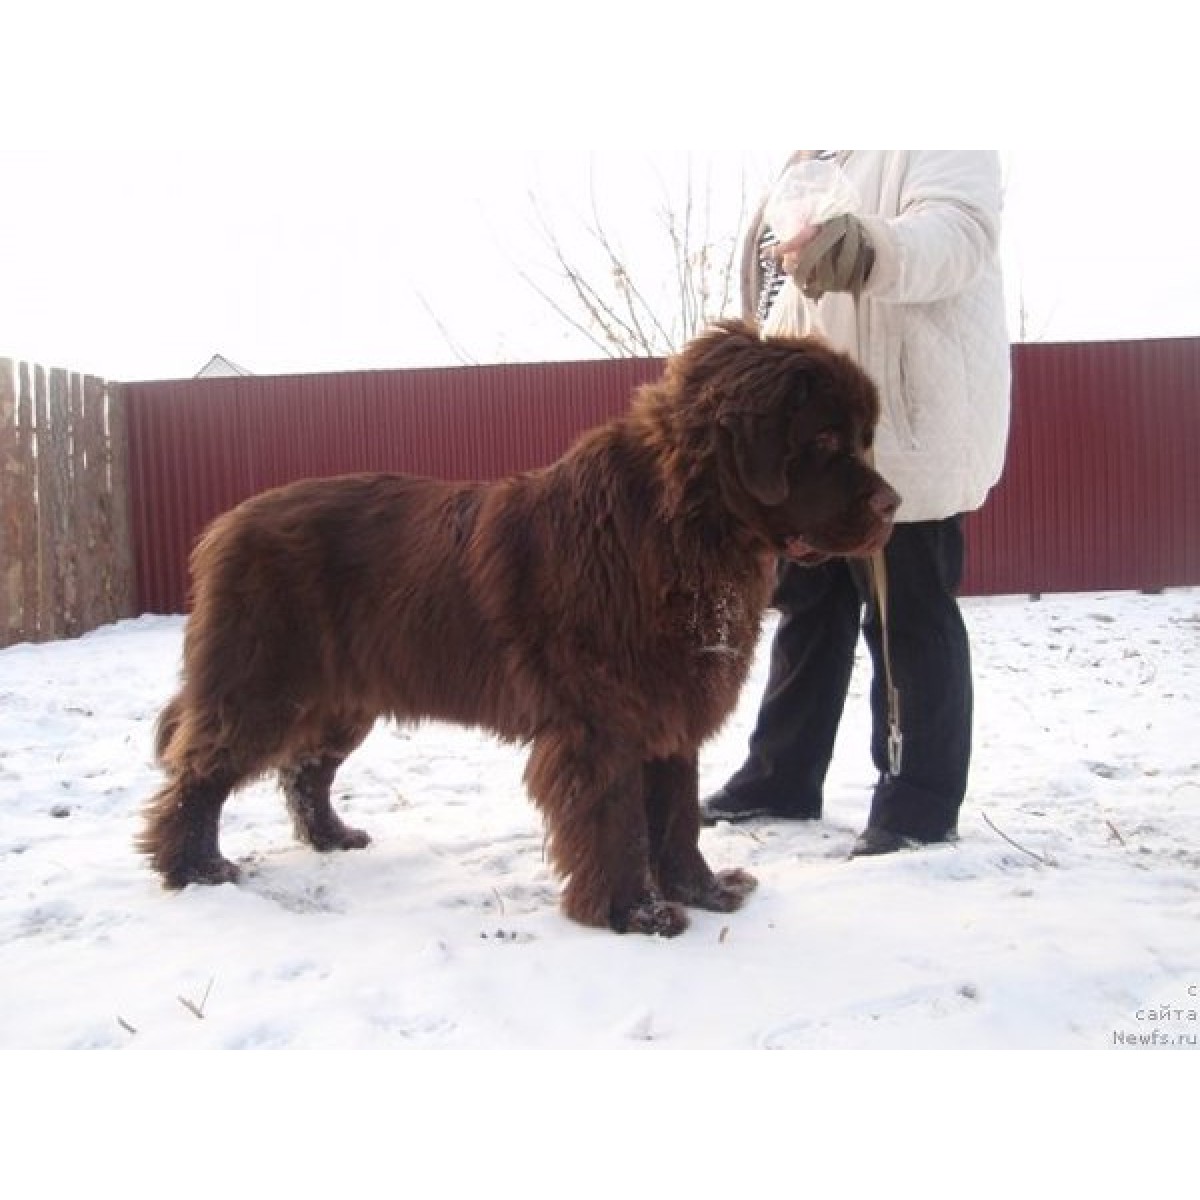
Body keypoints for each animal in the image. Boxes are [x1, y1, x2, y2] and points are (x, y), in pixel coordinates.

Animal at [136, 321, 897, 936]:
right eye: (824, 438)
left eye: (864, 439)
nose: (893, 504)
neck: (685, 531)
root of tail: (226, 523)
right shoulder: (604, 724)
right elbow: (619, 822)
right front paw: (634, 914)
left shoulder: (670, 711)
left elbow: (676, 814)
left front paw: (704, 891)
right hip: (261, 686)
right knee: (201, 771)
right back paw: (194, 869)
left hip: (341, 698)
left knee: (304, 769)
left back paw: (331, 837)